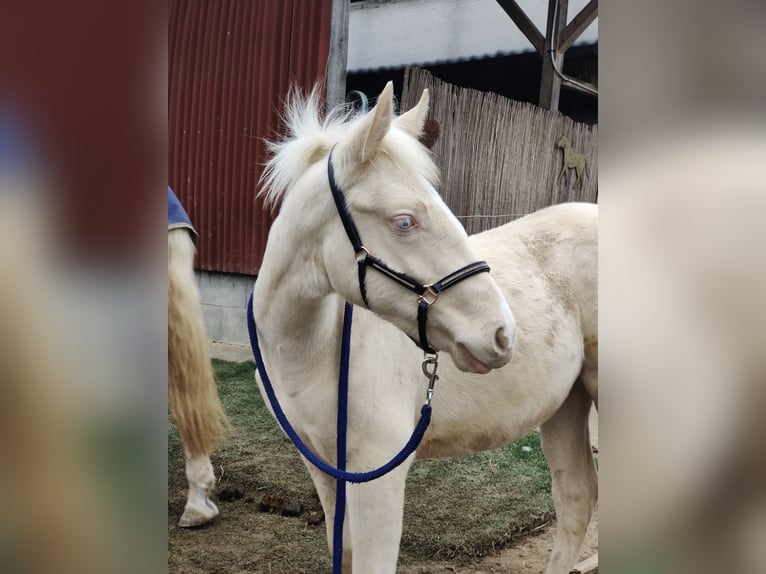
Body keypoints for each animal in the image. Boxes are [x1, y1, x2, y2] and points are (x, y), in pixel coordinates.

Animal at [254, 82, 600, 574]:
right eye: (404, 221)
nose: (502, 334)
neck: (313, 351)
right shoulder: (323, 465)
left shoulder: (377, 472)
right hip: (566, 405)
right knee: (575, 500)